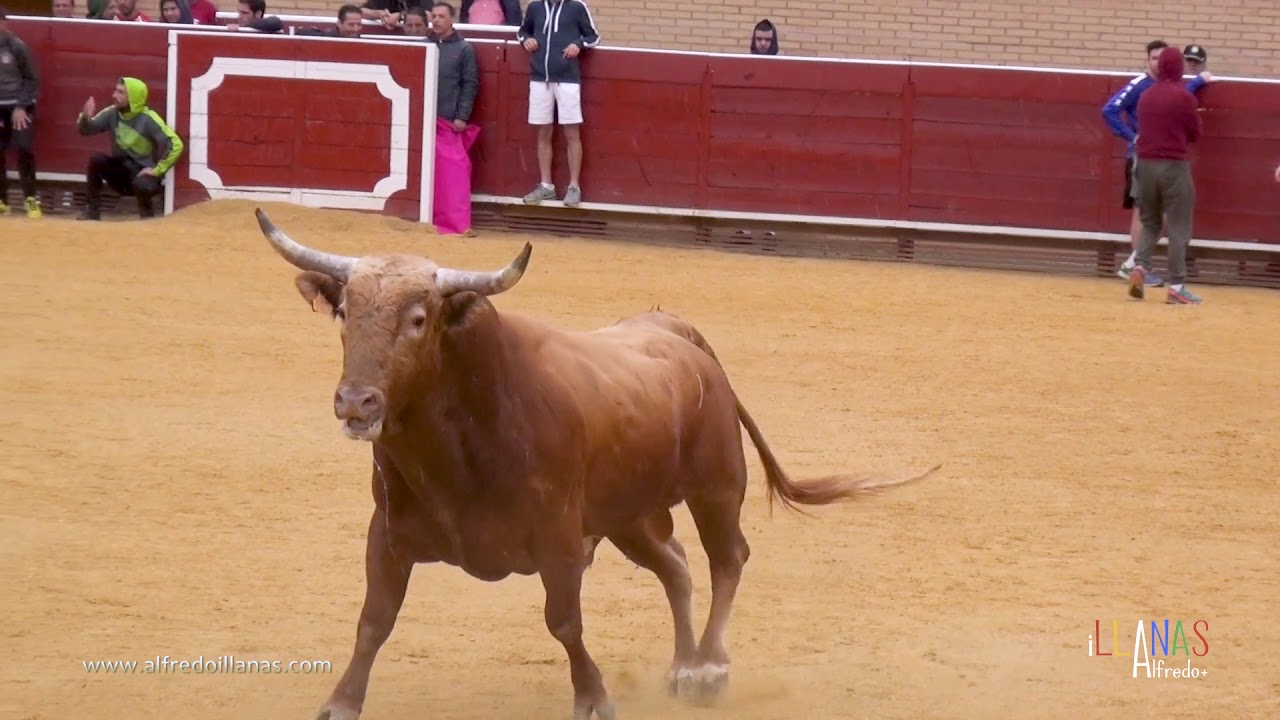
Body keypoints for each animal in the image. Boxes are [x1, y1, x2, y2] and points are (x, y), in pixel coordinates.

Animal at [257, 208, 942, 717]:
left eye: (419, 319)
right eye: (345, 313)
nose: (356, 402)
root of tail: (676, 332)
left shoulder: (559, 540)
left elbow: (563, 621)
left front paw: (593, 698)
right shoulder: (389, 535)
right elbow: (373, 621)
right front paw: (340, 704)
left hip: (717, 487)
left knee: (727, 558)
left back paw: (709, 668)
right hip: (629, 517)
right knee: (676, 565)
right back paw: (682, 664)